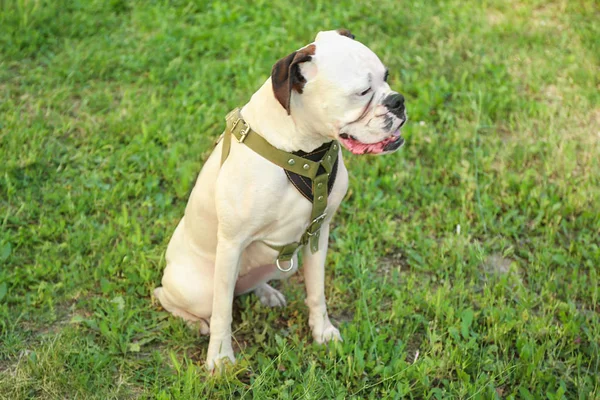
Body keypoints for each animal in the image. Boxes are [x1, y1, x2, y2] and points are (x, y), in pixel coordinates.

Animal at [155, 29, 408, 370]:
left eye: (387, 77)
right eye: (363, 92)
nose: (398, 101)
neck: (303, 151)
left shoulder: (318, 234)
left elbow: (316, 292)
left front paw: (322, 332)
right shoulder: (231, 243)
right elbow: (222, 314)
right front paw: (220, 359)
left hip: (282, 263)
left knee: (242, 287)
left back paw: (265, 293)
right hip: (199, 287)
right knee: (173, 296)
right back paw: (194, 322)